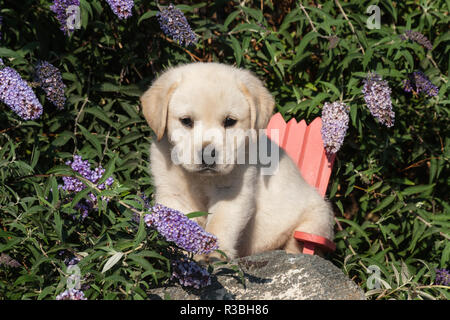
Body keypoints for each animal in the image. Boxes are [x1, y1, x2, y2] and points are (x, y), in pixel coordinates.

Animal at [141, 62, 334, 260]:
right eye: (186, 121)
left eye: (229, 121)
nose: (208, 154)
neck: (201, 179)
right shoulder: (173, 195)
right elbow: (179, 226)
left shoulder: (231, 191)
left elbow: (219, 223)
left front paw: (213, 253)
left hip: (316, 219)